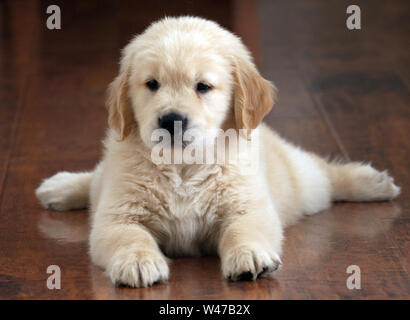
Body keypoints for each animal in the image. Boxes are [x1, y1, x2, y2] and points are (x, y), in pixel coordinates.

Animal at [35, 16, 400, 288]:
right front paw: (138, 262)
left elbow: (244, 229)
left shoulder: (248, 205)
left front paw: (249, 255)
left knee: (324, 172)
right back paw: (59, 187)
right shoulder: (116, 214)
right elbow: (130, 236)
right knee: (94, 179)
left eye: (203, 87)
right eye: (152, 84)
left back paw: (372, 183)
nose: (171, 120)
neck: (183, 167)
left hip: (302, 184)